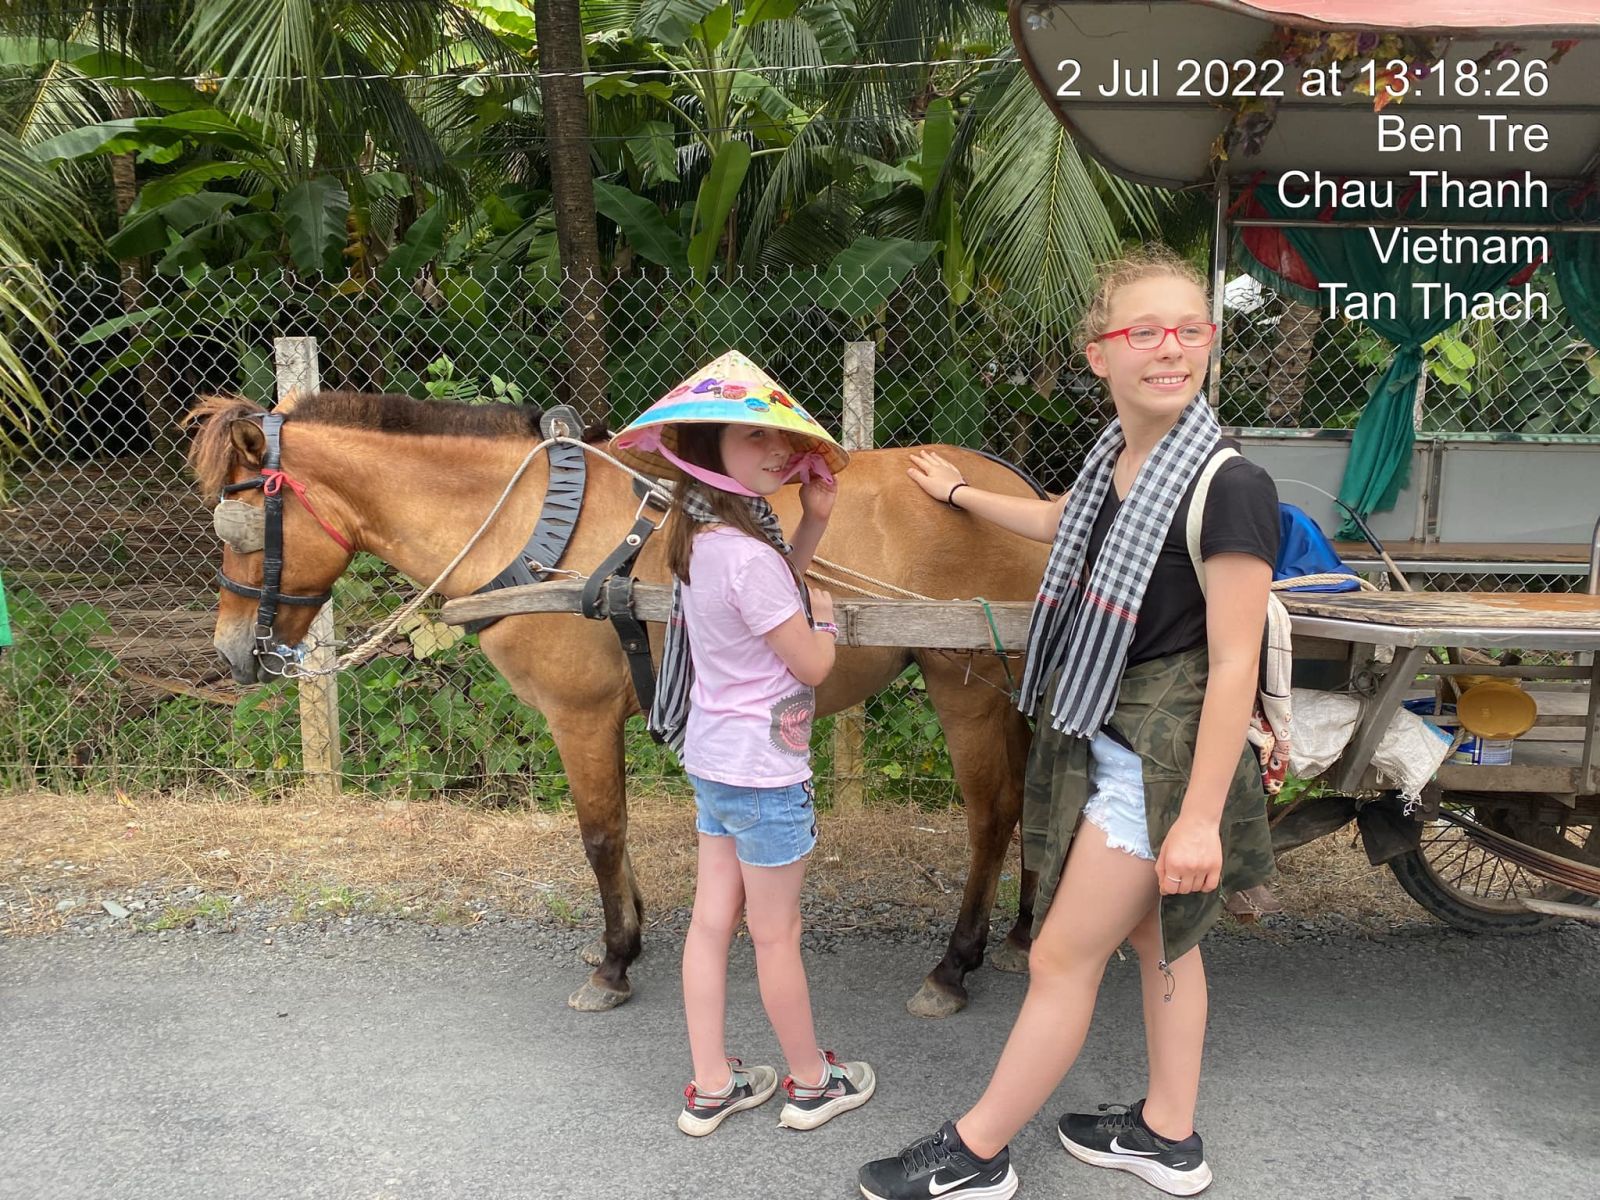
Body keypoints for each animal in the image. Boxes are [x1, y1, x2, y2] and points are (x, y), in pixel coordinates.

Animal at [190, 392, 1049, 1017]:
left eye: (239, 528)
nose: (233, 654)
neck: (537, 528)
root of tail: (1027, 493)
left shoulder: (579, 715)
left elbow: (600, 837)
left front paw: (612, 963)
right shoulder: (600, 718)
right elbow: (619, 831)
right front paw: (628, 937)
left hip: (965, 682)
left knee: (993, 814)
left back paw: (954, 965)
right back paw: (1021, 933)